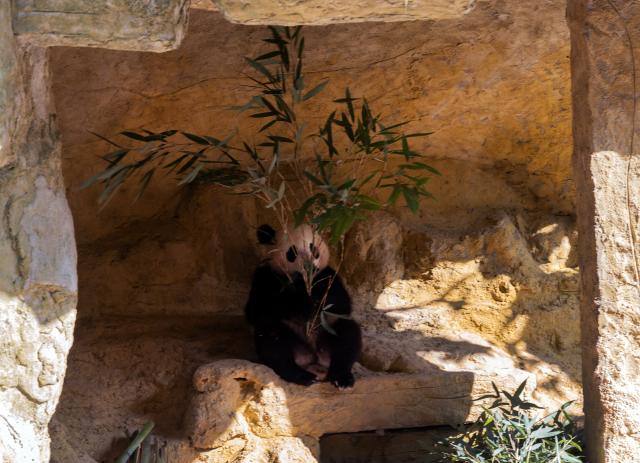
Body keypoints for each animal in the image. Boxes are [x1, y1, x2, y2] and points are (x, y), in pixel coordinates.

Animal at [245, 223, 362, 389]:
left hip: (327, 331)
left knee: (346, 337)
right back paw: (302, 376)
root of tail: (312, 357)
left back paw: (341, 377)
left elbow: (341, 304)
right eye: (292, 252)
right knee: (273, 341)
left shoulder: (328, 276)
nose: (309, 267)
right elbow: (256, 308)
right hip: (290, 336)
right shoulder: (266, 275)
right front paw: (303, 301)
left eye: (314, 249)